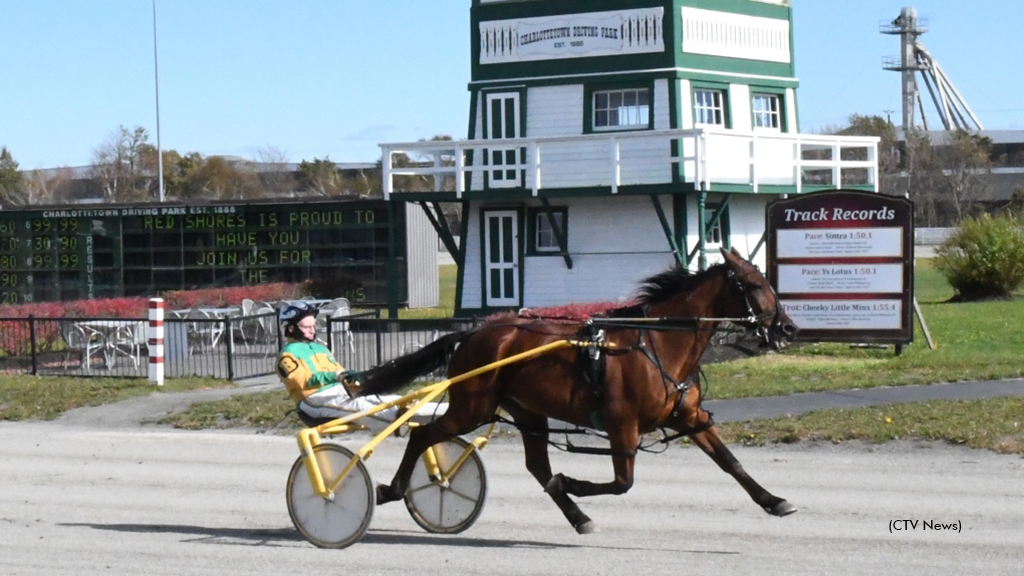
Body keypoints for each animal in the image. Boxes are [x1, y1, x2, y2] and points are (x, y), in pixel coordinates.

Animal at [358, 243, 798, 532]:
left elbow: (730, 462)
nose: (788, 328)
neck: (659, 344)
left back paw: (577, 517)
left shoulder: (688, 416)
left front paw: (774, 501)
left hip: (527, 410)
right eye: (753, 284)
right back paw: (393, 488)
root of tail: (472, 334)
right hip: (473, 407)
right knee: (423, 433)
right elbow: (623, 483)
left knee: (536, 466)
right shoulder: (622, 425)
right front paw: (571, 482)